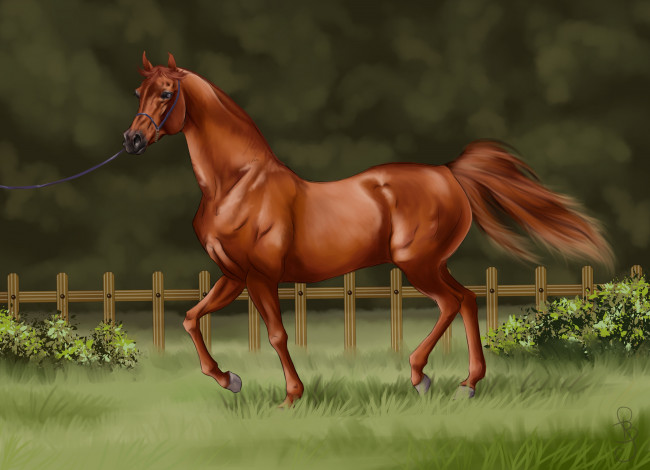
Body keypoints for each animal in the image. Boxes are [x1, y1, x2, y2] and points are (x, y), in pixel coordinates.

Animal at [123, 52, 613, 407]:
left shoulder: (261, 278)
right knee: (469, 300)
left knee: (452, 303)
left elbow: (277, 334)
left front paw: (291, 398)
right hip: (432, 263)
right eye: (138, 91)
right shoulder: (233, 276)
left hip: (418, 265)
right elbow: (190, 318)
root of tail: (447, 172)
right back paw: (462, 383)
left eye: (166, 93)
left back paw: (427, 377)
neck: (239, 184)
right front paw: (229, 379)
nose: (131, 141)